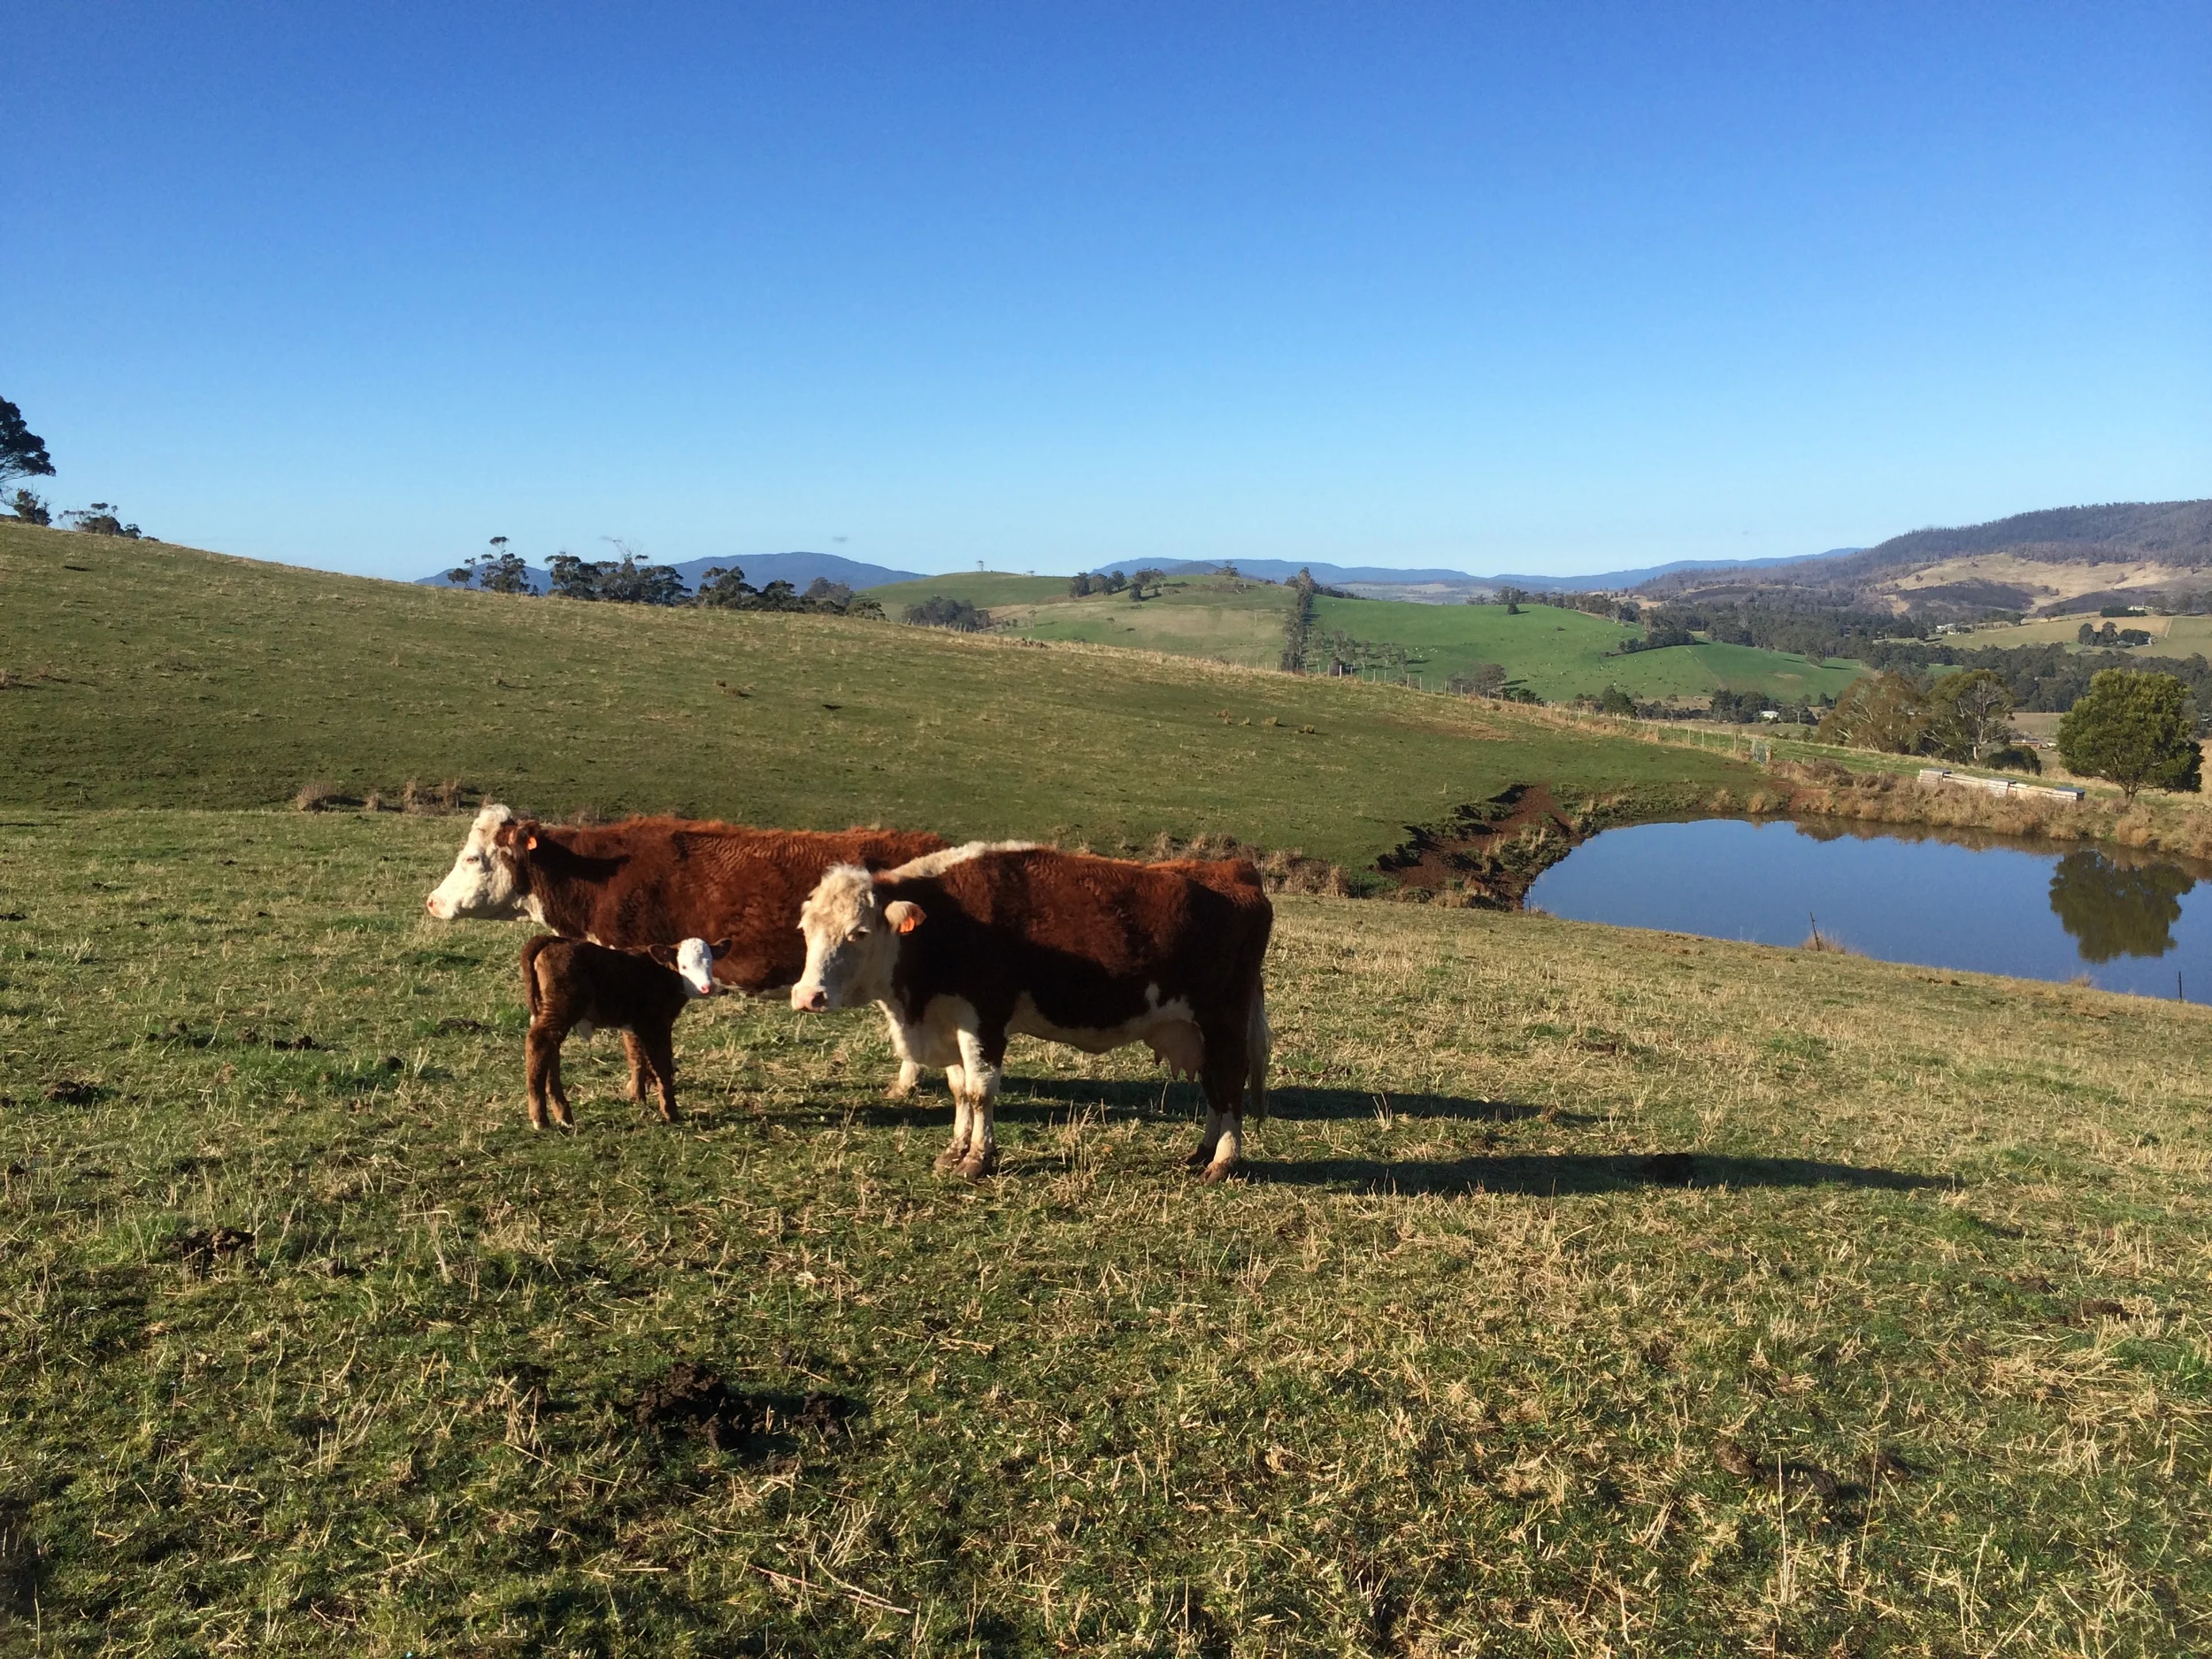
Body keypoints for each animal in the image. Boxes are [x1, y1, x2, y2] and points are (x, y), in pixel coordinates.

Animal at [521, 934, 729, 1129]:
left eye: (710, 963)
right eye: (684, 966)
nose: (707, 987)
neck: (663, 972)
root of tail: (552, 940)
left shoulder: (635, 1025)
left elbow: (636, 1056)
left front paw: (639, 1099)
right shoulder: (654, 1025)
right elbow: (662, 1065)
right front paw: (671, 1113)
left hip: (548, 1010)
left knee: (551, 1053)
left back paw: (563, 1116)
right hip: (561, 1008)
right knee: (538, 1043)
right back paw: (540, 1119)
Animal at [790, 843, 1272, 1182]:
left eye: (858, 932)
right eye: (806, 928)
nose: (808, 996)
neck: (946, 920)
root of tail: (1234, 872)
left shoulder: (985, 1018)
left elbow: (981, 1091)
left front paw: (977, 1160)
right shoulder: (951, 1020)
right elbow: (960, 1089)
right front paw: (954, 1151)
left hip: (1223, 1020)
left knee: (1229, 1082)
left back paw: (1223, 1162)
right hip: (1199, 1029)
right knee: (1214, 1087)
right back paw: (1203, 1152)